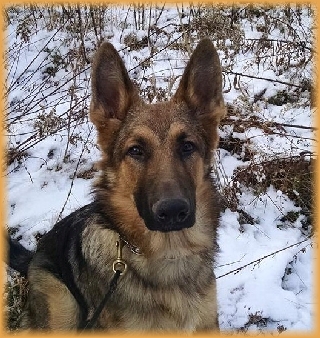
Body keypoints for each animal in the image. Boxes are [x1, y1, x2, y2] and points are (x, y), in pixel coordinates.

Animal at [9, 38, 225, 332]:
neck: (169, 252)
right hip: (61, 305)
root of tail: (33, 257)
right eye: (136, 151)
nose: (172, 211)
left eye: (187, 146)